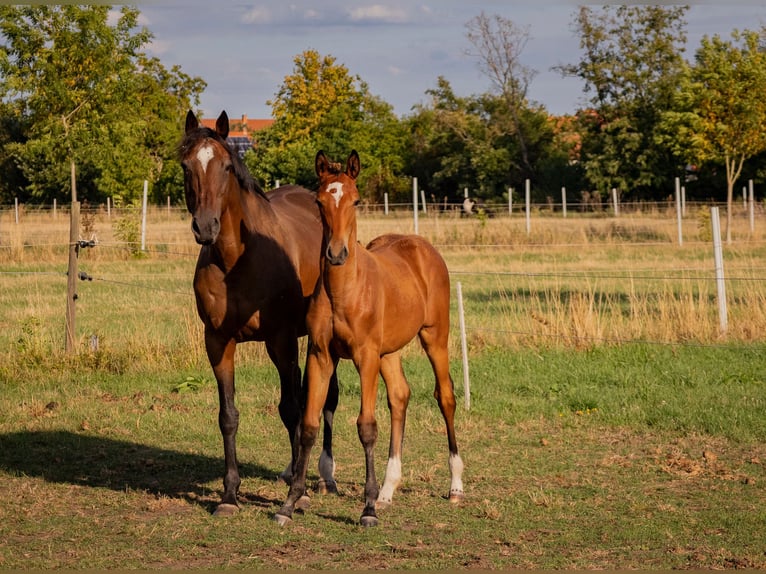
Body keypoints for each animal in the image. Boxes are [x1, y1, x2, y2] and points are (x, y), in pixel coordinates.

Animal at [179, 110, 339, 516]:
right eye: (187, 166)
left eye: (225, 167)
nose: (205, 227)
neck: (237, 259)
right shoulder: (218, 341)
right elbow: (228, 416)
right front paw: (229, 494)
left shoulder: (281, 340)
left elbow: (294, 408)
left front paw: (301, 491)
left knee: (324, 401)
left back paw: (324, 477)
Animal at [275, 150, 465, 527]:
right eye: (319, 202)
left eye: (356, 200)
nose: (336, 254)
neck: (345, 291)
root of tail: (423, 247)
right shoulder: (321, 355)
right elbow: (309, 424)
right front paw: (290, 503)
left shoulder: (364, 357)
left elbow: (366, 426)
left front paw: (368, 508)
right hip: (388, 351)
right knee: (400, 396)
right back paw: (389, 489)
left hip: (435, 337)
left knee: (446, 397)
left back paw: (454, 485)